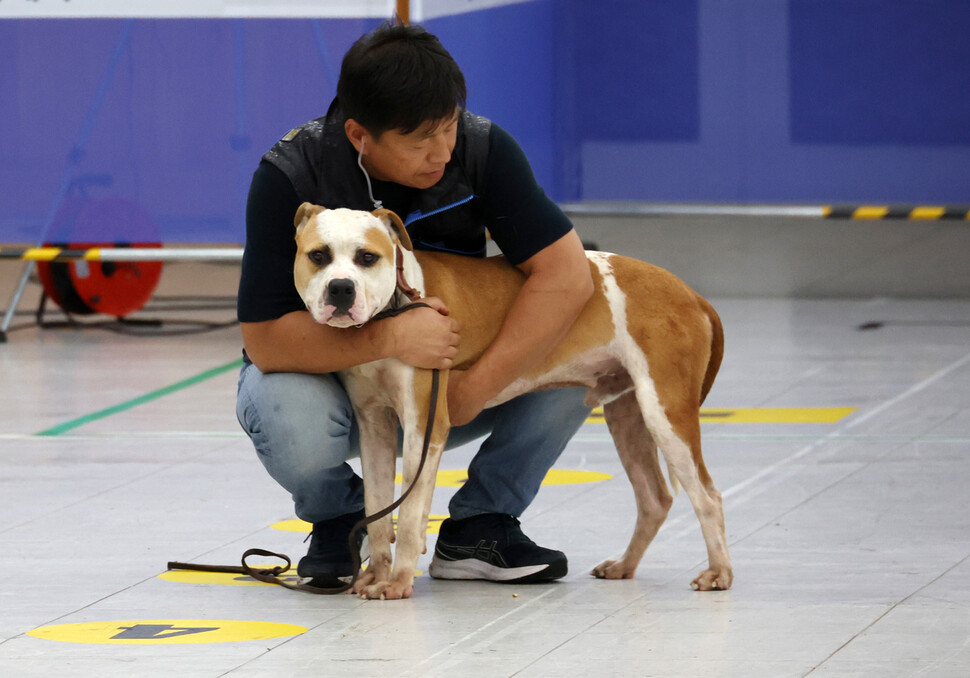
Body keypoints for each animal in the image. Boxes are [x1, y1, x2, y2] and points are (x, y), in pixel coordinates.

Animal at [292, 202, 728, 600]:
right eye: (318, 256)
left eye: (367, 257)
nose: (341, 288)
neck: (392, 315)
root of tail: (691, 294)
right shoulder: (375, 427)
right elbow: (378, 512)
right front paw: (375, 575)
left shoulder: (424, 427)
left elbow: (411, 512)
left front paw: (398, 582)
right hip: (628, 418)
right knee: (655, 498)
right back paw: (624, 566)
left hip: (665, 413)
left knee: (707, 496)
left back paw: (718, 573)